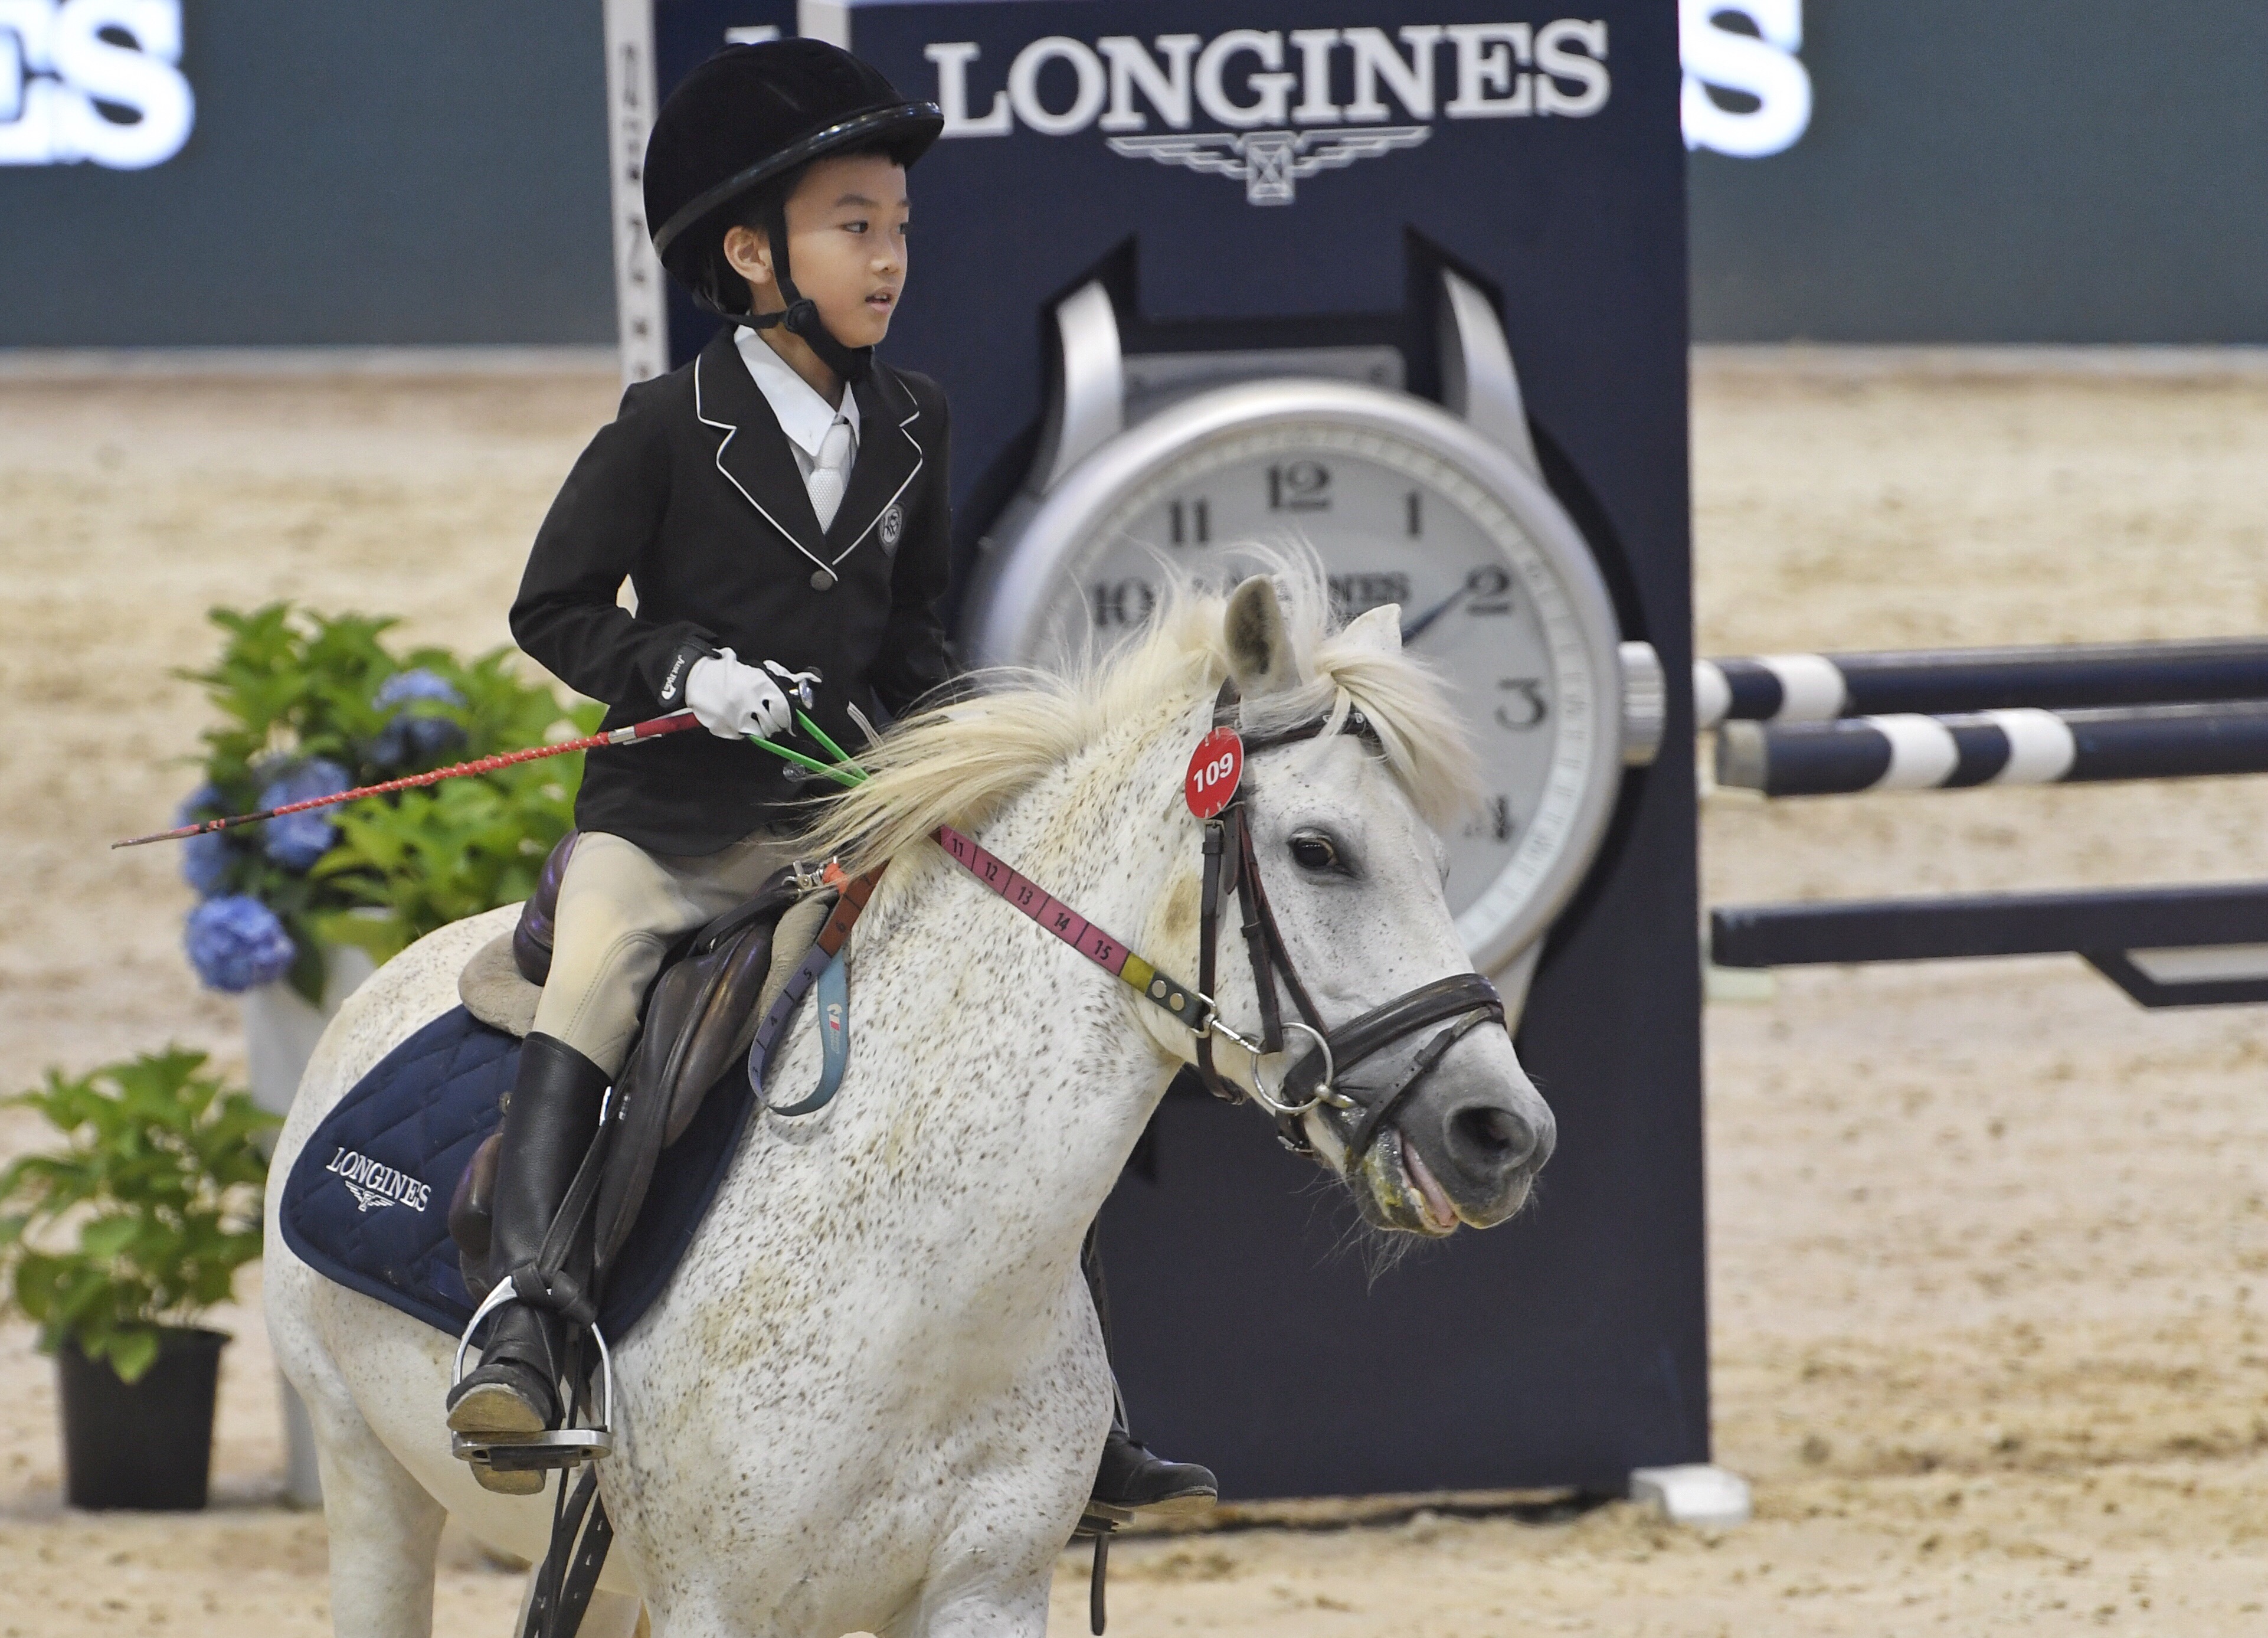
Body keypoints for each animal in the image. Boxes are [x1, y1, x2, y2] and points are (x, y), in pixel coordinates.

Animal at [257, 565, 1551, 1633]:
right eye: (1318, 850)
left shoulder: (985, 1593)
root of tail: (393, 974)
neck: (929, 1287)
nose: (1503, 1132)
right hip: (372, 1487)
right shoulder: (716, 1606)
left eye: (1444, 863)